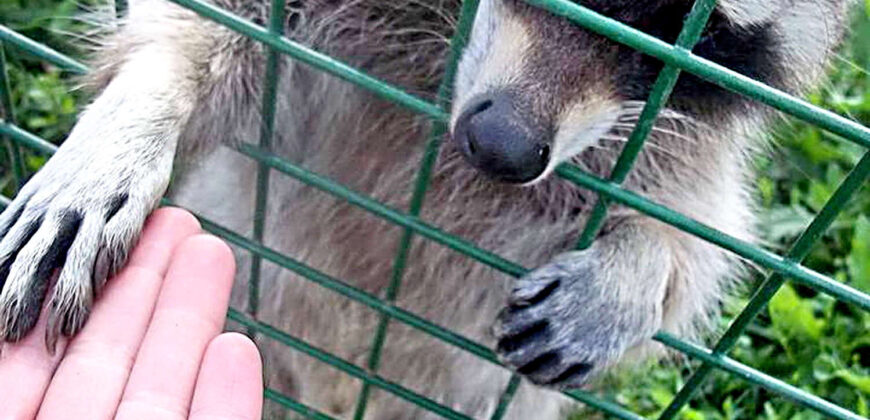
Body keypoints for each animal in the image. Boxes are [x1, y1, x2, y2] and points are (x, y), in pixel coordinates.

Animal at [0, 0, 856, 418]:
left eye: (695, 31)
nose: (502, 147)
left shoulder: (673, 141)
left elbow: (700, 238)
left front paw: (639, 270)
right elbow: (213, 38)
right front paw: (139, 111)